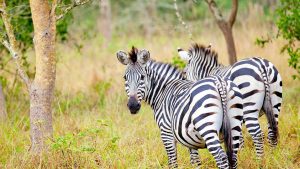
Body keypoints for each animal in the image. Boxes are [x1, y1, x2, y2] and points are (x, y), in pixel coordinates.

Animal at [115, 46, 244, 168]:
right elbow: (195, 161)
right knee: (234, 157)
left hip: (207, 128)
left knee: (221, 158)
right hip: (234, 126)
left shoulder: (166, 133)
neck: (162, 91)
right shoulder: (190, 140)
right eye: (125, 78)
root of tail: (219, 82)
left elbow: (172, 162)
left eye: (142, 77)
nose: (133, 105)